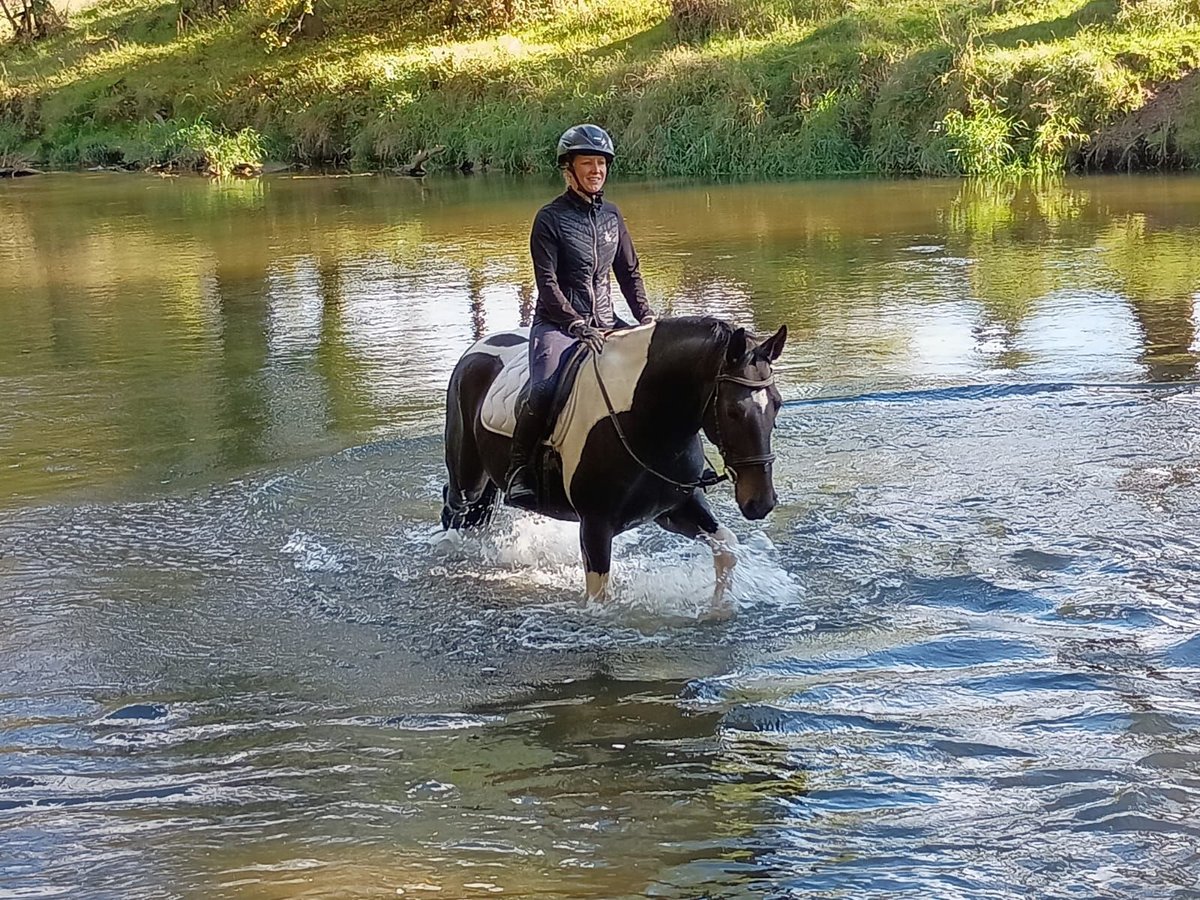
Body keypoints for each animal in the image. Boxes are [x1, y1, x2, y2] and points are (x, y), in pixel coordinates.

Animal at [440, 316, 787, 618]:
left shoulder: (674, 508)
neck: (643, 418)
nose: (760, 502)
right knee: (455, 508)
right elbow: (599, 597)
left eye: (777, 403)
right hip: (468, 476)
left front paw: (718, 609)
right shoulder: (596, 523)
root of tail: (474, 351)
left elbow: (726, 549)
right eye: (732, 411)